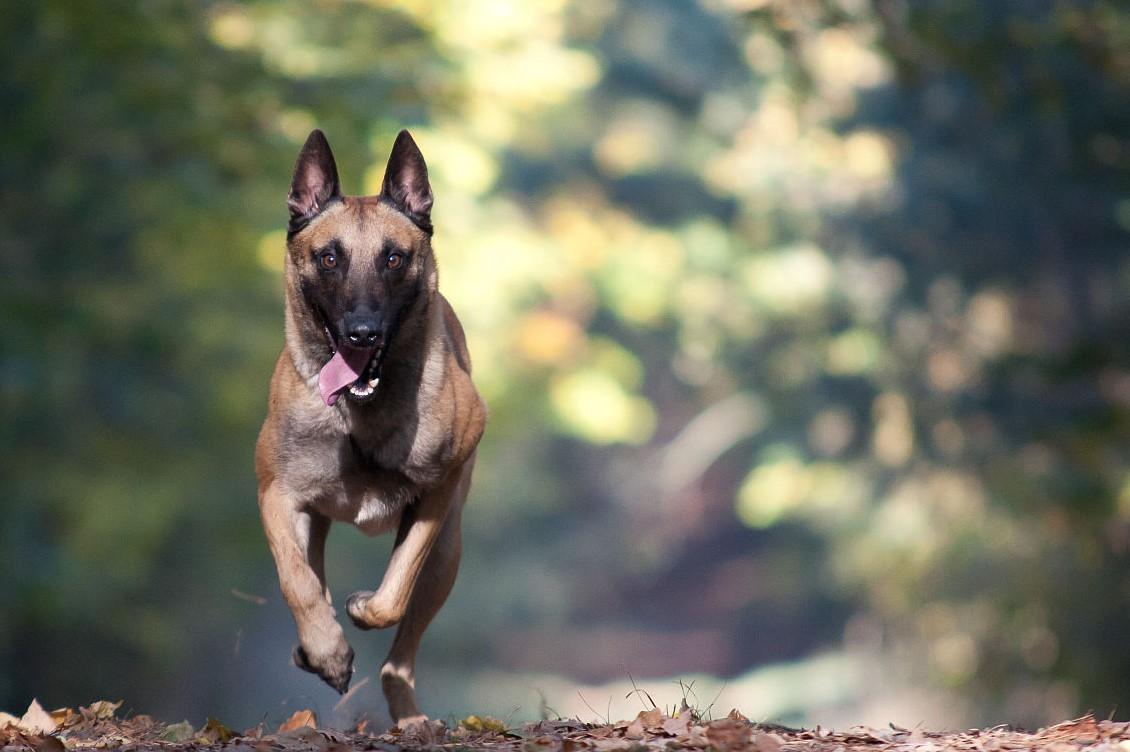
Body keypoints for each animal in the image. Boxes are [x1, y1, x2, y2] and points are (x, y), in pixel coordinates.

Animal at [256, 126, 485, 723]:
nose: (362, 332)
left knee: (399, 658)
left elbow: (394, 591)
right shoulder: (278, 496)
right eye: (329, 257)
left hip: (449, 552)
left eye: (394, 259)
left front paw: (362, 610)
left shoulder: (435, 498)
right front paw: (327, 652)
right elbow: (297, 582)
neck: (358, 416)